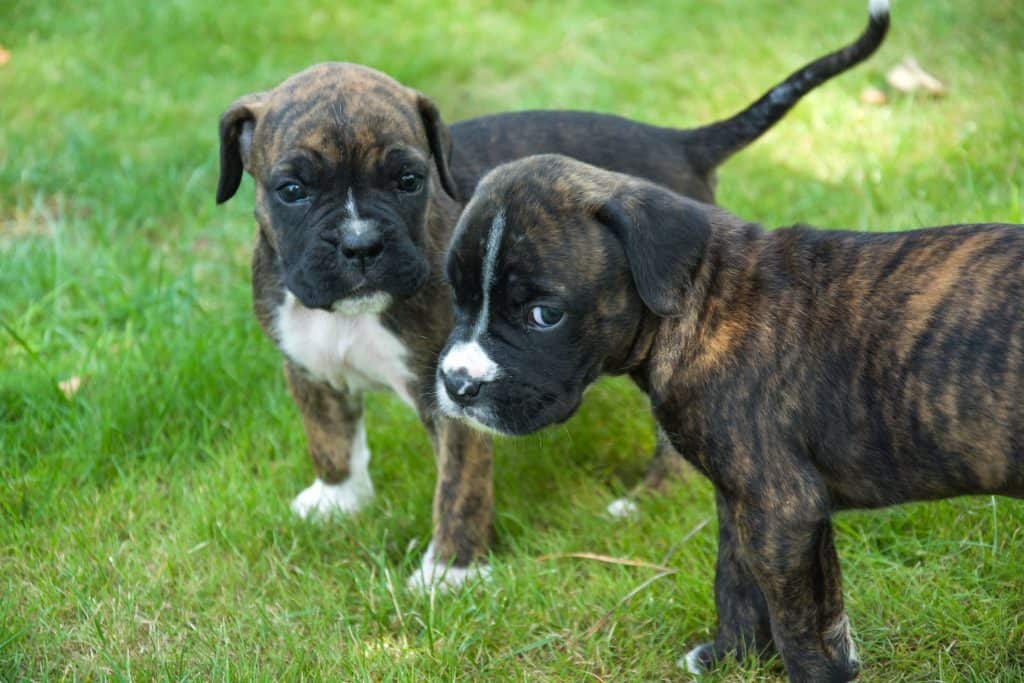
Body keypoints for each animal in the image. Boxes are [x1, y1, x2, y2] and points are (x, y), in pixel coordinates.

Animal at [216, 1, 888, 593]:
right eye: (292, 190)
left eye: (409, 181)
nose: (361, 244)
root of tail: (679, 142)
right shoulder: (306, 361)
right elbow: (329, 434)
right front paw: (339, 499)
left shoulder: (451, 393)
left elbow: (458, 487)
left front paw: (449, 571)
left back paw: (648, 499)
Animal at [440, 154, 1024, 683]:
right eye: (456, 297)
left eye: (545, 315)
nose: (456, 384)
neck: (702, 304)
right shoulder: (747, 501)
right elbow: (740, 584)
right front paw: (733, 659)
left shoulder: (783, 508)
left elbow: (798, 623)